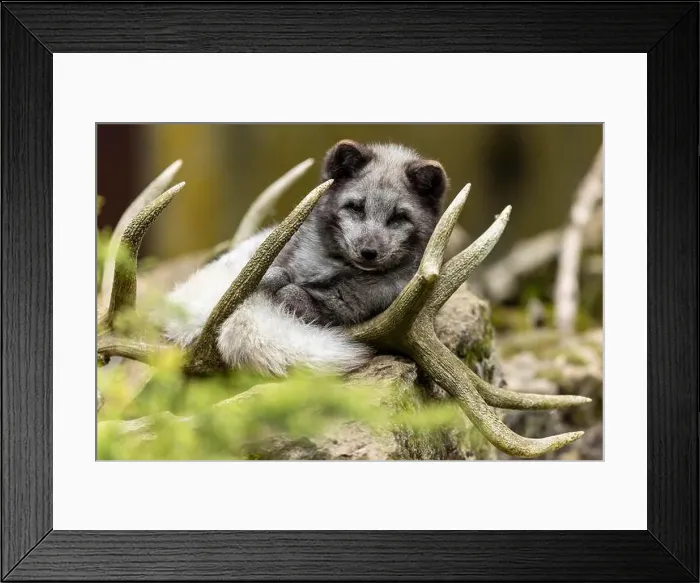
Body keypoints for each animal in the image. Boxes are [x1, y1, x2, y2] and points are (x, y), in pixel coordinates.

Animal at [161, 140, 449, 376]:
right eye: (356, 207)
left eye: (399, 217)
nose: (368, 252)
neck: (330, 267)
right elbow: (276, 275)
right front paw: (273, 279)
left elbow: (296, 294)